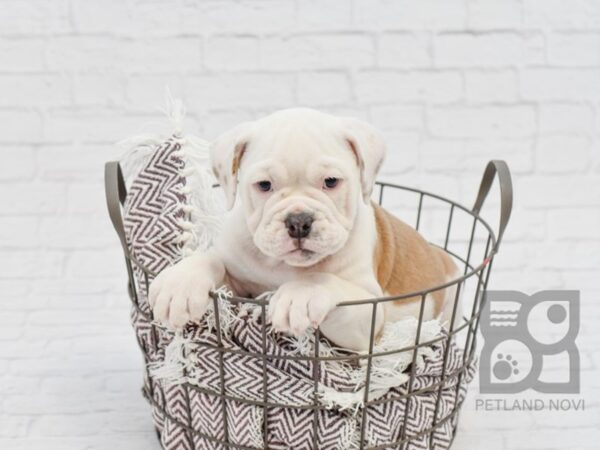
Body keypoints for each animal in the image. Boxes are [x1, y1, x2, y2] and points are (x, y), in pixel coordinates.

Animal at [149, 108, 460, 352]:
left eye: (331, 181)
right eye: (264, 185)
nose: (298, 221)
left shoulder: (370, 317)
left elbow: (322, 280)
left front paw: (301, 294)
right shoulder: (237, 284)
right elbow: (212, 259)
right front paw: (180, 283)